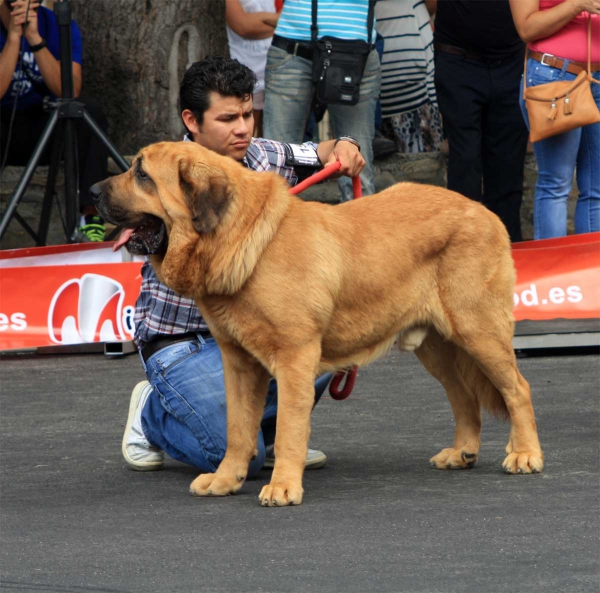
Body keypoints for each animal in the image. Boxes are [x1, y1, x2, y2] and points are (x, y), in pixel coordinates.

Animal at [92, 141, 544, 506]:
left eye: (143, 174)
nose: (93, 192)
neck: (240, 238)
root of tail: (483, 210)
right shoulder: (238, 364)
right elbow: (238, 430)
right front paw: (225, 480)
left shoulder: (295, 358)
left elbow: (289, 429)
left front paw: (282, 487)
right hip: (436, 347)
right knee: (464, 396)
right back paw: (462, 452)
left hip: (477, 329)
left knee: (517, 388)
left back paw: (525, 454)